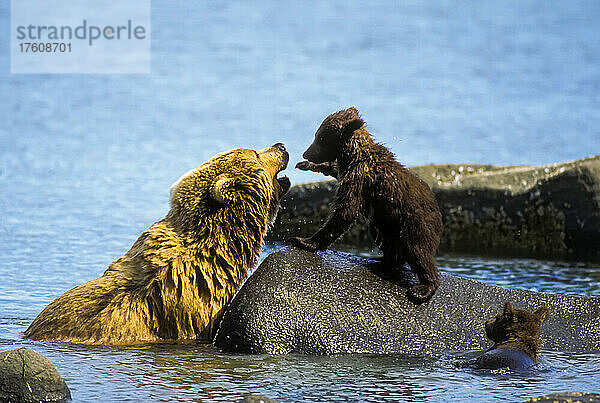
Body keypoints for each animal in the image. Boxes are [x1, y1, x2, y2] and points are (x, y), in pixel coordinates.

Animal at [288, 107, 442, 304]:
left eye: (321, 138)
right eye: (317, 134)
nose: (306, 154)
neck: (354, 155)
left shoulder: (360, 178)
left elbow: (346, 211)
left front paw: (304, 241)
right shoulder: (348, 171)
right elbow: (335, 169)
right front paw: (308, 165)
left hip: (415, 223)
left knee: (418, 251)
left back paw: (422, 288)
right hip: (387, 222)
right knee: (383, 236)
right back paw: (384, 261)